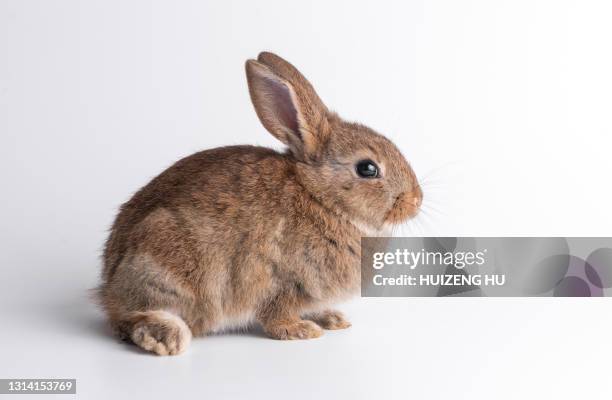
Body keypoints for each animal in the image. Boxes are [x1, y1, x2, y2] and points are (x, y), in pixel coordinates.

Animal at [98, 51, 424, 354]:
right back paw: (168, 337)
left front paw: (333, 319)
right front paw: (301, 330)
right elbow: (277, 315)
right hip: (165, 265)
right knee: (132, 317)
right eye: (367, 168)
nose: (416, 200)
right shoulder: (284, 282)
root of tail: (108, 286)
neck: (321, 198)